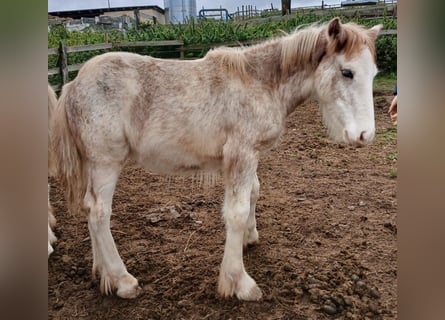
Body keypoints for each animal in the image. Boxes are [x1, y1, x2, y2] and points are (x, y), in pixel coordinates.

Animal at [49, 18, 382, 300]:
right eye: (347, 72)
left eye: (374, 74)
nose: (365, 135)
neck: (261, 82)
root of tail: (73, 85)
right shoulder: (240, 154)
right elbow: (236, 211)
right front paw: (239, 282)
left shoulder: (250, 155)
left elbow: (253, 193)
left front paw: (250, 237)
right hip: (106, 163)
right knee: (99, 213)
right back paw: (122, 280)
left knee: (89, 209)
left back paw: (101, 271)